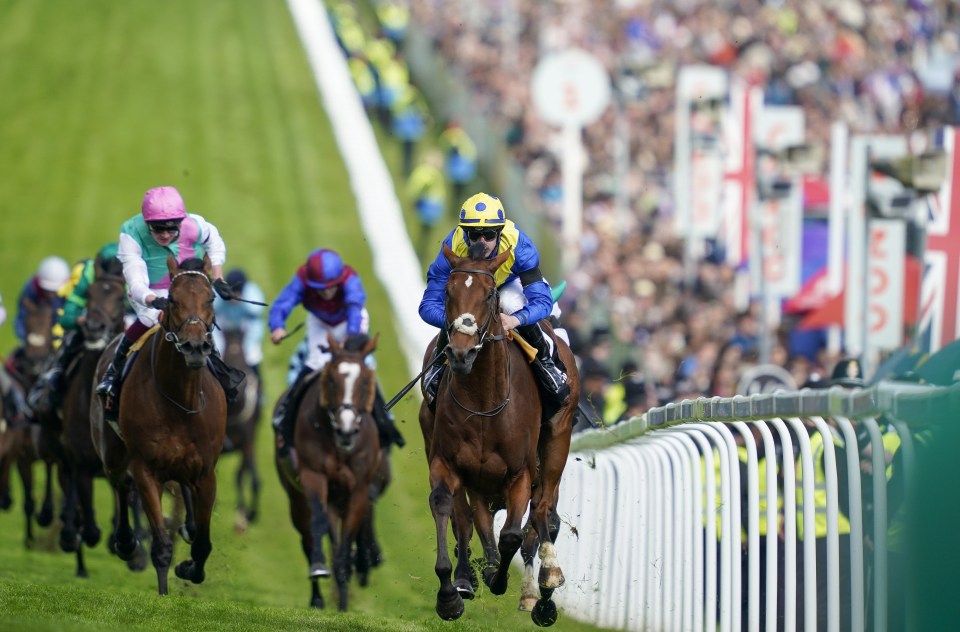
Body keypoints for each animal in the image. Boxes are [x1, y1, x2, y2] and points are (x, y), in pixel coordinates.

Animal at [91, 254, 228, 596]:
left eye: (210, 298)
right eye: (173, 300)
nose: (195, 347)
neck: (180, 400)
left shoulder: (206, 472)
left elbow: (203, 543)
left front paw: (190, 568)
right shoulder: (146, 469)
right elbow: (161, 545)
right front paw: (164, 593)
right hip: (112, 451)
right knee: (119, 483)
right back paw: (126, 542)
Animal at [274, 334, 382, 608]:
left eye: (365, 381)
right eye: (332, 379)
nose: (346, 430)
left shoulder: (358, 490)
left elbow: (346, 541)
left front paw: (343, 597)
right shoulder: (314, 478)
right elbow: (318, 524)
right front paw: (320, 569)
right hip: (296, 497)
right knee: (307, 536)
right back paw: (317, 596)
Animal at [414, 243, 576, 628]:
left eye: (489, 295)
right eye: (447, 292)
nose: (460, 352)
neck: (484, 403)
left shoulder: (519, 473)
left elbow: (513, 534)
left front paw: (504, 580)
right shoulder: (450, 464)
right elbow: (449, 510)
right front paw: (452, 592)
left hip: (557, 440)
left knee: (543, 511)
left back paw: (545, 585)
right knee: (471, 519)